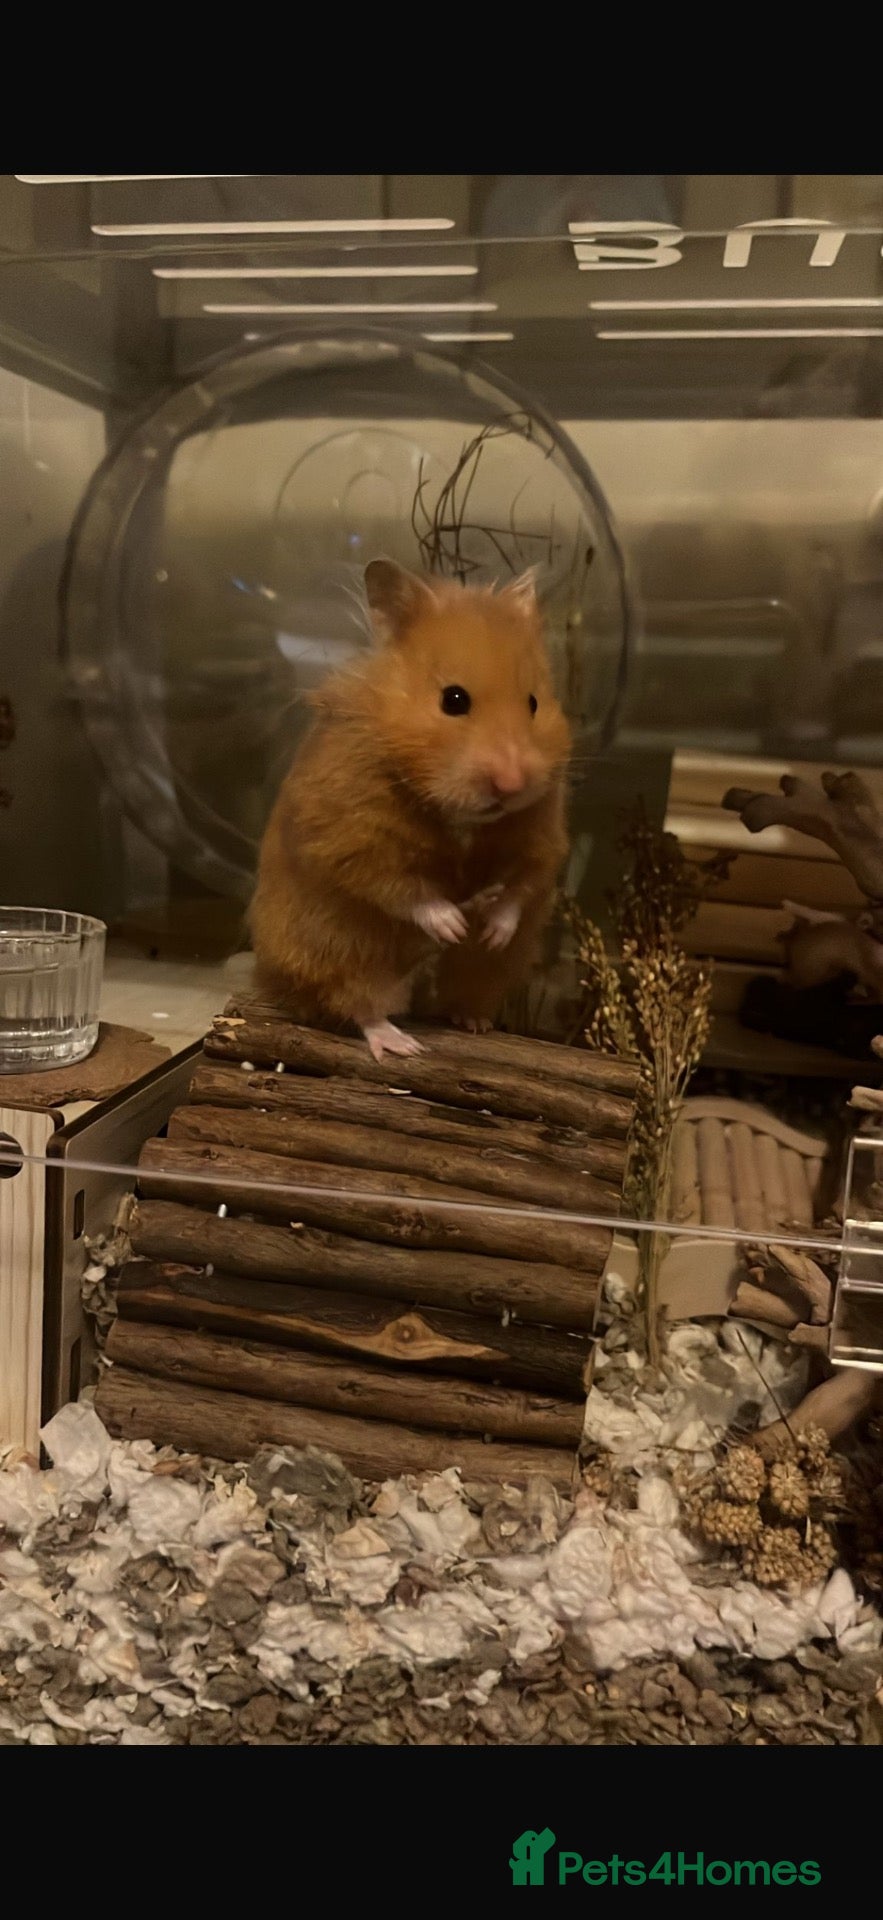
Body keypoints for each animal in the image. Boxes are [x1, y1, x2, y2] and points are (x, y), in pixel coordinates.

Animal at [248, 558, 572, 1061]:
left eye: (534, 703)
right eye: (453, 700)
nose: (512, 784)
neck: (459, 814)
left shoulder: (542, 837)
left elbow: (521, 887)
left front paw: (489, 929)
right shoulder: (353, 838)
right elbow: (403, 890)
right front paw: (454, 924)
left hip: (481, 973)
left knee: (461, 991)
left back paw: (473, 1021)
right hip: (340, 953)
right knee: (359, 1005)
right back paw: (402, 1044)